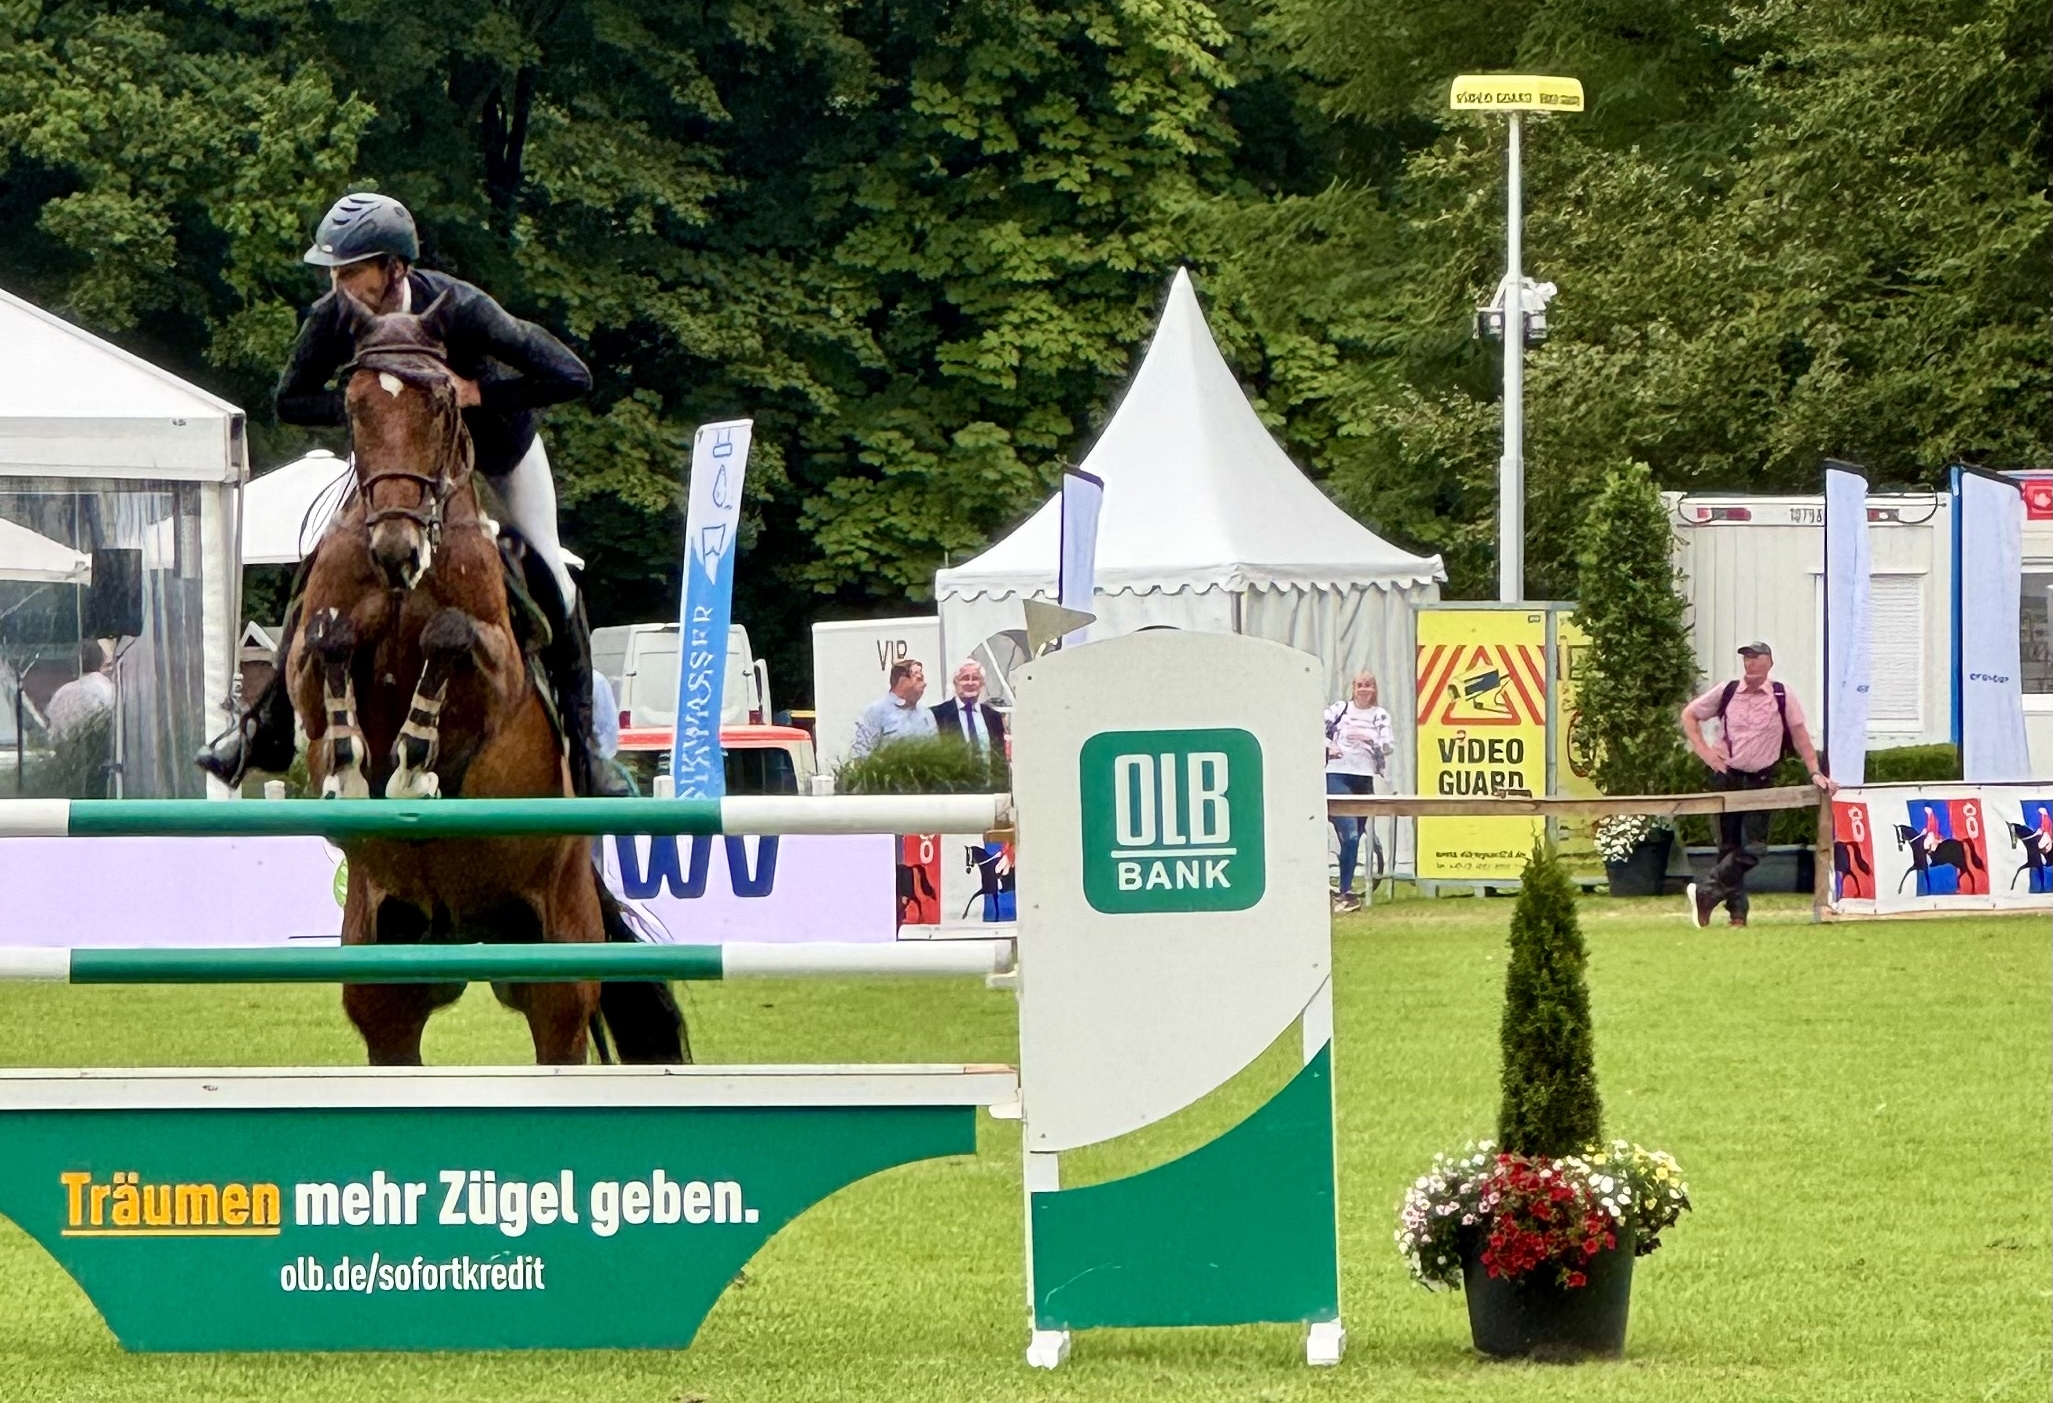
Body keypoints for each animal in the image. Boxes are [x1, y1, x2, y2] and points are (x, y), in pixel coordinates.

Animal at [285, 293, 685, 1068]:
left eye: (443, 403)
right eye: (353, 405)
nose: (396, 549)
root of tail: (466, 931)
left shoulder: (499, 677)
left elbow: (450, 639)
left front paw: (412, 768)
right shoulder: (304, 673)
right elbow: (328, 646)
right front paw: (350, 766)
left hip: (559, 969)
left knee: (560, 1034)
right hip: (386, 972)